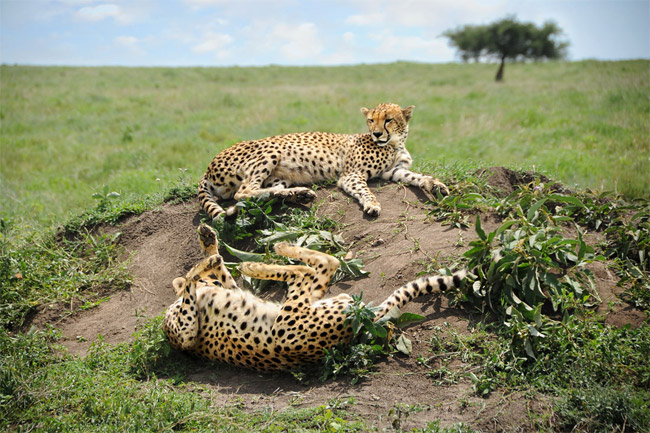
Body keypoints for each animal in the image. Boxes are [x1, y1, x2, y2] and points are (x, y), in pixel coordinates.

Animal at [163, 223, 466, 372]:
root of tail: (361, 324)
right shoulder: (186, 336)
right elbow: (191, 283)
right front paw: (204, 264)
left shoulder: (208, 307)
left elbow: (206, 278)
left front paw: (208, 248)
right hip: (289, 323)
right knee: (321, 265)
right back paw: (268, 256)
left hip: (297, 312)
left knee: (319, 266)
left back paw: (267, 256)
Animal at [197, 102, 448, 219]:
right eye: (370, 120)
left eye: (388, 120)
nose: (377, 134)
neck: (394, 144)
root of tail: (207, 167)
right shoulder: (351, 175)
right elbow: (365, 190)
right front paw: (372, 204)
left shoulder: (393, 172)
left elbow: (416, 177)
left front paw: (435, 185)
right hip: (270, 151)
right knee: (244, 192)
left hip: (279, 177)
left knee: (263, 192)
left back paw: (298, 194)